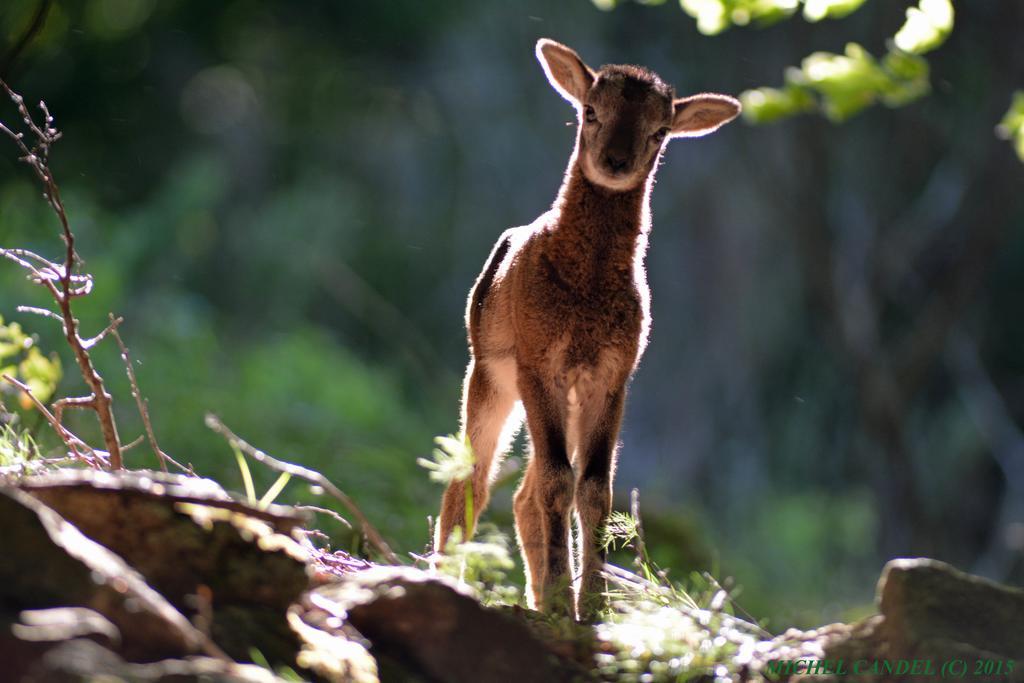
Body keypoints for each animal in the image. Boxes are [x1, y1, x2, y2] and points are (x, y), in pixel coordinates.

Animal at [436, 38, 741, 618]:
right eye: (591, 111)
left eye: (660, 130)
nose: (616, 161)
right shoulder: (538, 359)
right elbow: (559, 479)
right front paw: (562, 600)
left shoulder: (614, 372)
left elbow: (595, 486)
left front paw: (592, 606)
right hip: (488, 370)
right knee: (472, 478)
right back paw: (446, 572)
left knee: (522, 492)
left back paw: (530, 591)